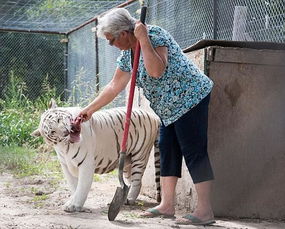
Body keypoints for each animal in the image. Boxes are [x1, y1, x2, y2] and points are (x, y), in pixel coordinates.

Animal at [31, 100, 160, 213]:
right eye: (52, 132)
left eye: (59, 120)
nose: (66, 132)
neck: (65, 147)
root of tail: (153, 116)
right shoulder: (66, 166)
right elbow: (74, 186)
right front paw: (73, 202)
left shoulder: (86, 164)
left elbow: (82, 186)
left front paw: (74, 205)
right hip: (127, 162)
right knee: (132, 182)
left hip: (140, 156)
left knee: (137, 181)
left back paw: (129, 199)